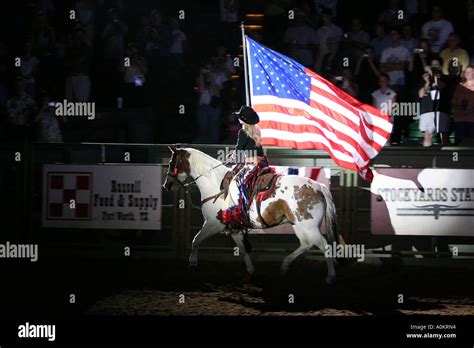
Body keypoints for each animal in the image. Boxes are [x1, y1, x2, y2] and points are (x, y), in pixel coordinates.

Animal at [163, 146, 340, 282]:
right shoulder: (233, 228)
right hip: (299, 225)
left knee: (324, 245)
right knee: (306, 244)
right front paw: (250, 271)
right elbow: (242, 248)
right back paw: (285, 265)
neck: (216, 184)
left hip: (309, 227)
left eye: (172, 163)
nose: (167, 185)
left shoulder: (214, 223)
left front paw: (192, 264)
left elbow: (196, 240)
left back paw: (330, 276)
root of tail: (319, 187)